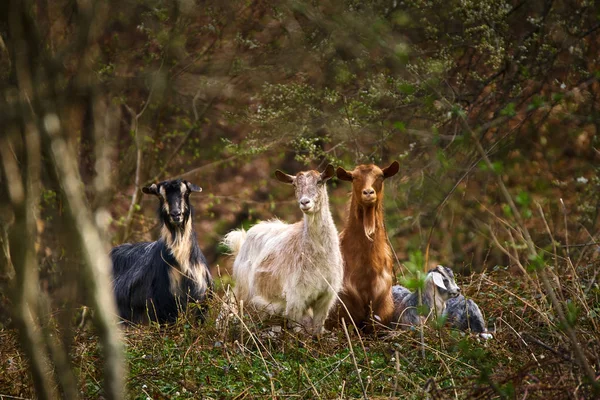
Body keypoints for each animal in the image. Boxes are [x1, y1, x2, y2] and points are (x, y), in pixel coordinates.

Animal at [220, 164, 342, 336]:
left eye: (319, 181)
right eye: (294, 185)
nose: (305, 202)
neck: (318, 255)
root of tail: (242, 240)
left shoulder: (325, 297)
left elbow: (317, 331)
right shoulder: (295, 298)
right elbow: (296, 332)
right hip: (245, 291)